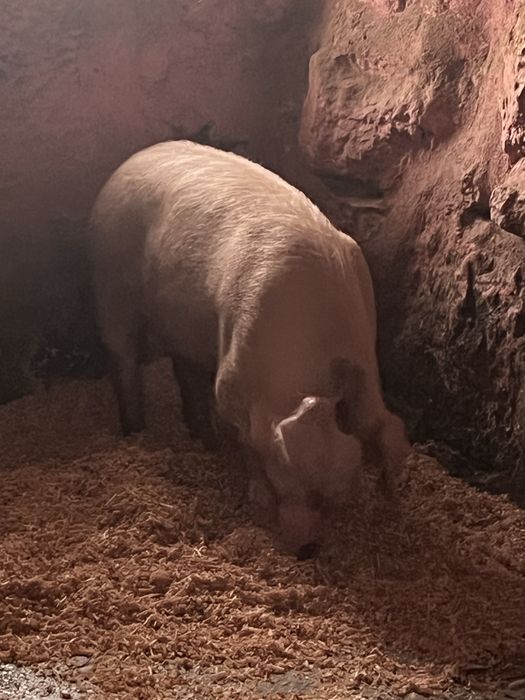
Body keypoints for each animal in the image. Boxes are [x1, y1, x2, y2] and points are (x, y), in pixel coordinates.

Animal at [89, 140, 410, 558]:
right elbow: (248, 443)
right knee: (122, 357)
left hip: (182, 321)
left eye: (335, 500)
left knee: (185, 370)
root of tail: (135, 157)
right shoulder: (232, 377)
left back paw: (205, 440)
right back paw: (135, 433)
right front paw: (258, 501)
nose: (306, 550)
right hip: (110, 279)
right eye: (287, 480)